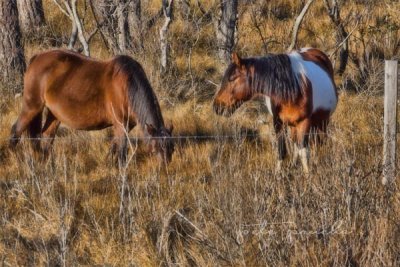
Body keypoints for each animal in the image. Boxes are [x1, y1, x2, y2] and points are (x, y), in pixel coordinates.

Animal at [9, 49, 173, 164]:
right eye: (154, 150)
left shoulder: (126, 126)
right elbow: (121, 152)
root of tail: (36, 57)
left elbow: (114, 147)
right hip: (32, 107)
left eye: (171, 149)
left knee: (46, 137)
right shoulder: (121, 125)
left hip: (54, 114)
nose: (164, 170)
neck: (126, 86)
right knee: (16, 131)